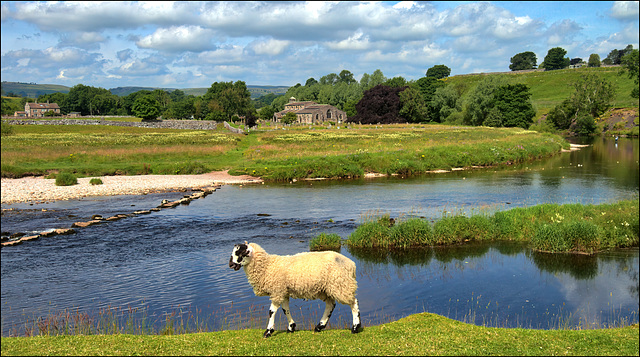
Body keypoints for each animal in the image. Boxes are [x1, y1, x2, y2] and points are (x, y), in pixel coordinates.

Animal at [229, 239, 360, 336]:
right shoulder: (283, 292)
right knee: (330, 305)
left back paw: (355, 327)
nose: (230, 265)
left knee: (353, 303)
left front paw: (268, 331)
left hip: (341, 284)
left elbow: (271, 312)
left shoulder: (277, 291)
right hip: (327, 289)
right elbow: (285, 310)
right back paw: (319, 326)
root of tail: (351, 264)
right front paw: (291, 327)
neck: (266, 266)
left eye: (239, 253)